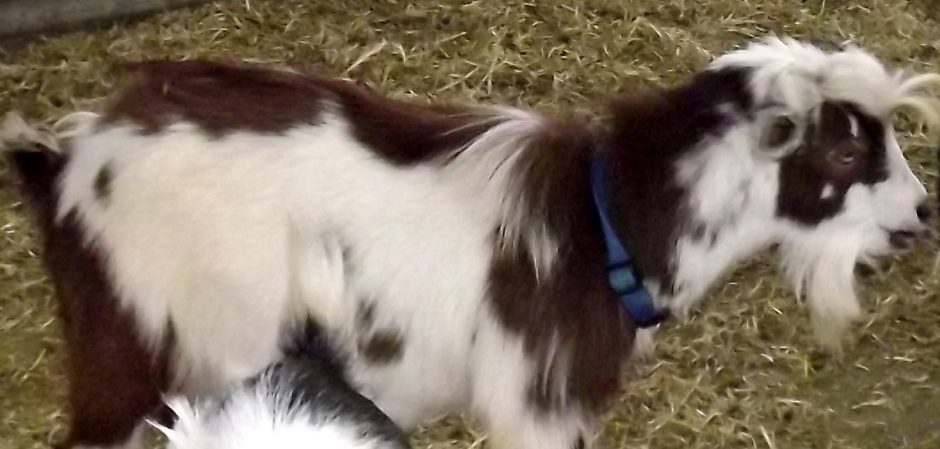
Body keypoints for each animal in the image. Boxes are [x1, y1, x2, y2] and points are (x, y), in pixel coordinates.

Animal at [3, 36, 939, 449]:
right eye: (846, 151)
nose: (921, 213)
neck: (600, 222)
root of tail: (70, 163)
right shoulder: (537, 405)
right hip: (139, 345)